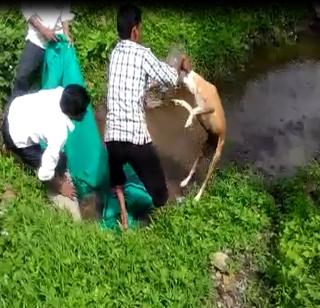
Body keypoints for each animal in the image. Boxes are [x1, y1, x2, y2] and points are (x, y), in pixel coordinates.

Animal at [171, 69, 226, 201]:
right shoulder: (200, 113)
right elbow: (190, 107)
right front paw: (178, 102)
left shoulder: (209, 108)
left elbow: (193, 110)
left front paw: (188, 122)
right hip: (202, 153)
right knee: (193, 169)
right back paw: (185, 182)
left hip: (214, 160)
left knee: (206, 181)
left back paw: (197, 197)